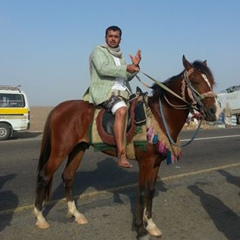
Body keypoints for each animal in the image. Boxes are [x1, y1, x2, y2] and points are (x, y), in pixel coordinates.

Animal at [34, 54, 220, 240]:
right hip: (60, 150)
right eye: (195, 81)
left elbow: (150, 190)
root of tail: (58, 108)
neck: (158, 116)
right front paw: (140, 229)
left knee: (68, 177)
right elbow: (142, 191)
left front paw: (150, 224)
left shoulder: (155, 163)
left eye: (211, 81)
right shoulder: (145, 162)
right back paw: (40, 217)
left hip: (78, 149)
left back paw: (76, 214)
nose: (213, 111)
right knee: (44, 175)